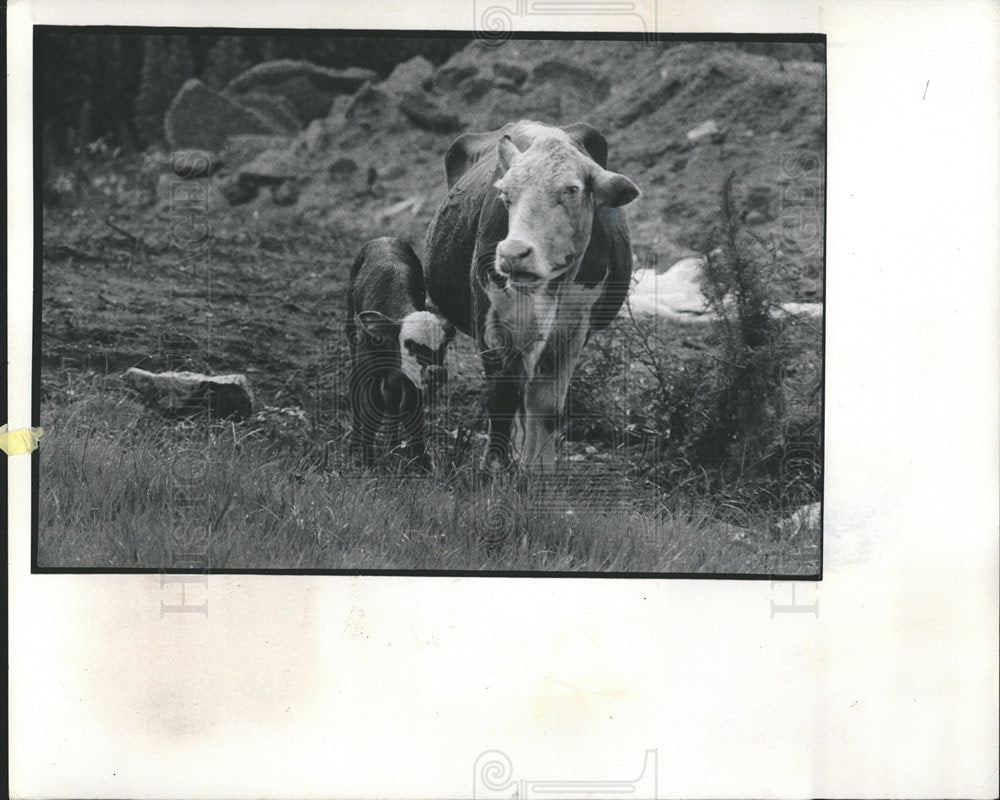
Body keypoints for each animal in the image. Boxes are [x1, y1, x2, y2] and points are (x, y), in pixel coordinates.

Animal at [344, 238, 454, 468]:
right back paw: (355, 445)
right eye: (409, 344)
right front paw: (368, 463)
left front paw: (422, 462)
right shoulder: (370, 370)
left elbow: (411, 410)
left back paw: (393, 445)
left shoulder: (412, 378)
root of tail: (383, 238)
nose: (437, 372)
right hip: (354, 345)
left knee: (393, 399)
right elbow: (372, 409)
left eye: (443, 346)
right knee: (356, 391)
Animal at [422, 119, 640, 468]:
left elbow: (547, 407)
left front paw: (539, 468)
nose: (513, 253)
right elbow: (502, 398)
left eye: (571, 189)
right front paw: (495, 465)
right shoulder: (492, 324)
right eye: (504, 193)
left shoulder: (573, 330)